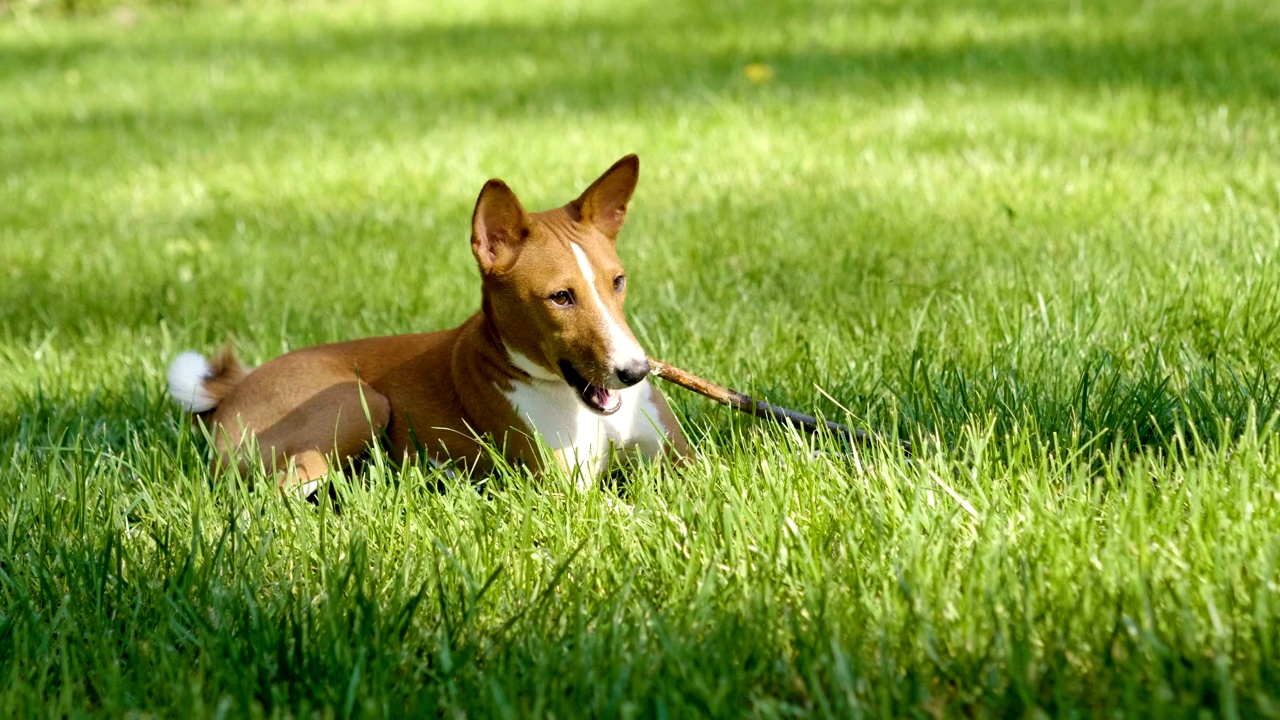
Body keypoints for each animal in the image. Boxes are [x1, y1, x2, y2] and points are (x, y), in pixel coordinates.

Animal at [172, 150, 691, 486]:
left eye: (618, 281)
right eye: (561, 297)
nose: (635, 371)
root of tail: (234, 391)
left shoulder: (682, 463)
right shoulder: (568, 491)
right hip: (356, 402)